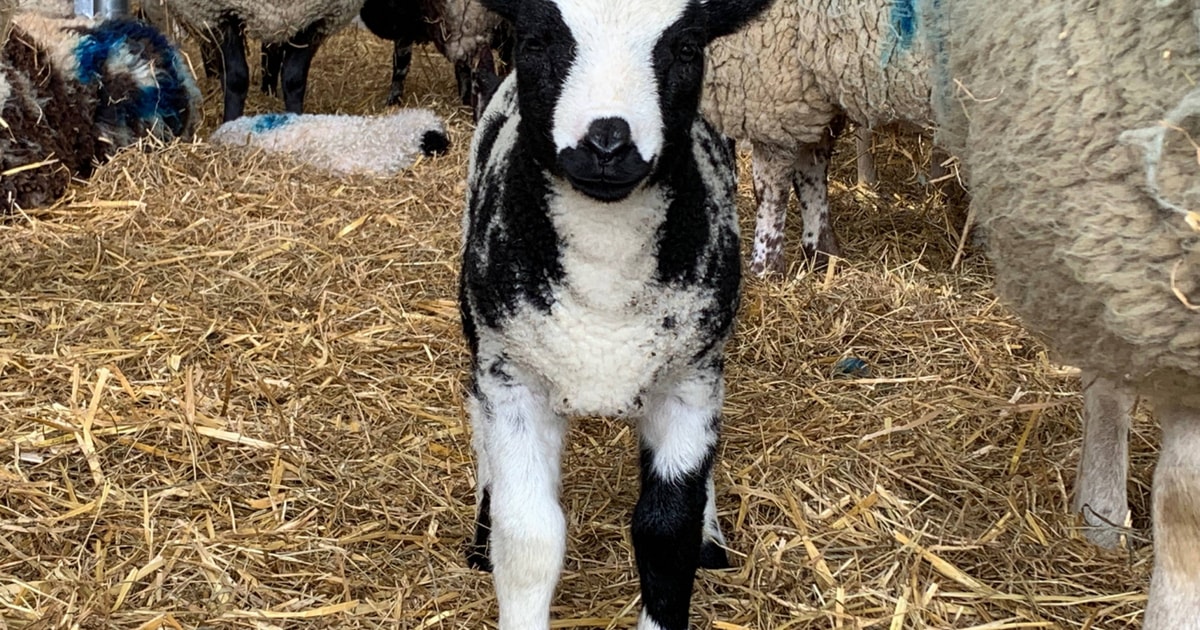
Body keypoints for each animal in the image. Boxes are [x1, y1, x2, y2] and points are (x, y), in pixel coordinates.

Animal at [158, 0, 364, 121]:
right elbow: (236, 78)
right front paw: (231, 123)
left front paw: (295, 120)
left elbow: (294, 79)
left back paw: (268, 91)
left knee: (271, 51)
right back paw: (213, 83)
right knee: (208, 47)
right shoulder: (217, 13)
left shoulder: (317, 20)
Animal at [458, 0, 768, 627]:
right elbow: (528, 535)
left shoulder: (689, 379)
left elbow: (667, 533)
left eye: (687, 47)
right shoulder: (513, 376)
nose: (607, 142)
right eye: (535, 40)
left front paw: (694, 538)